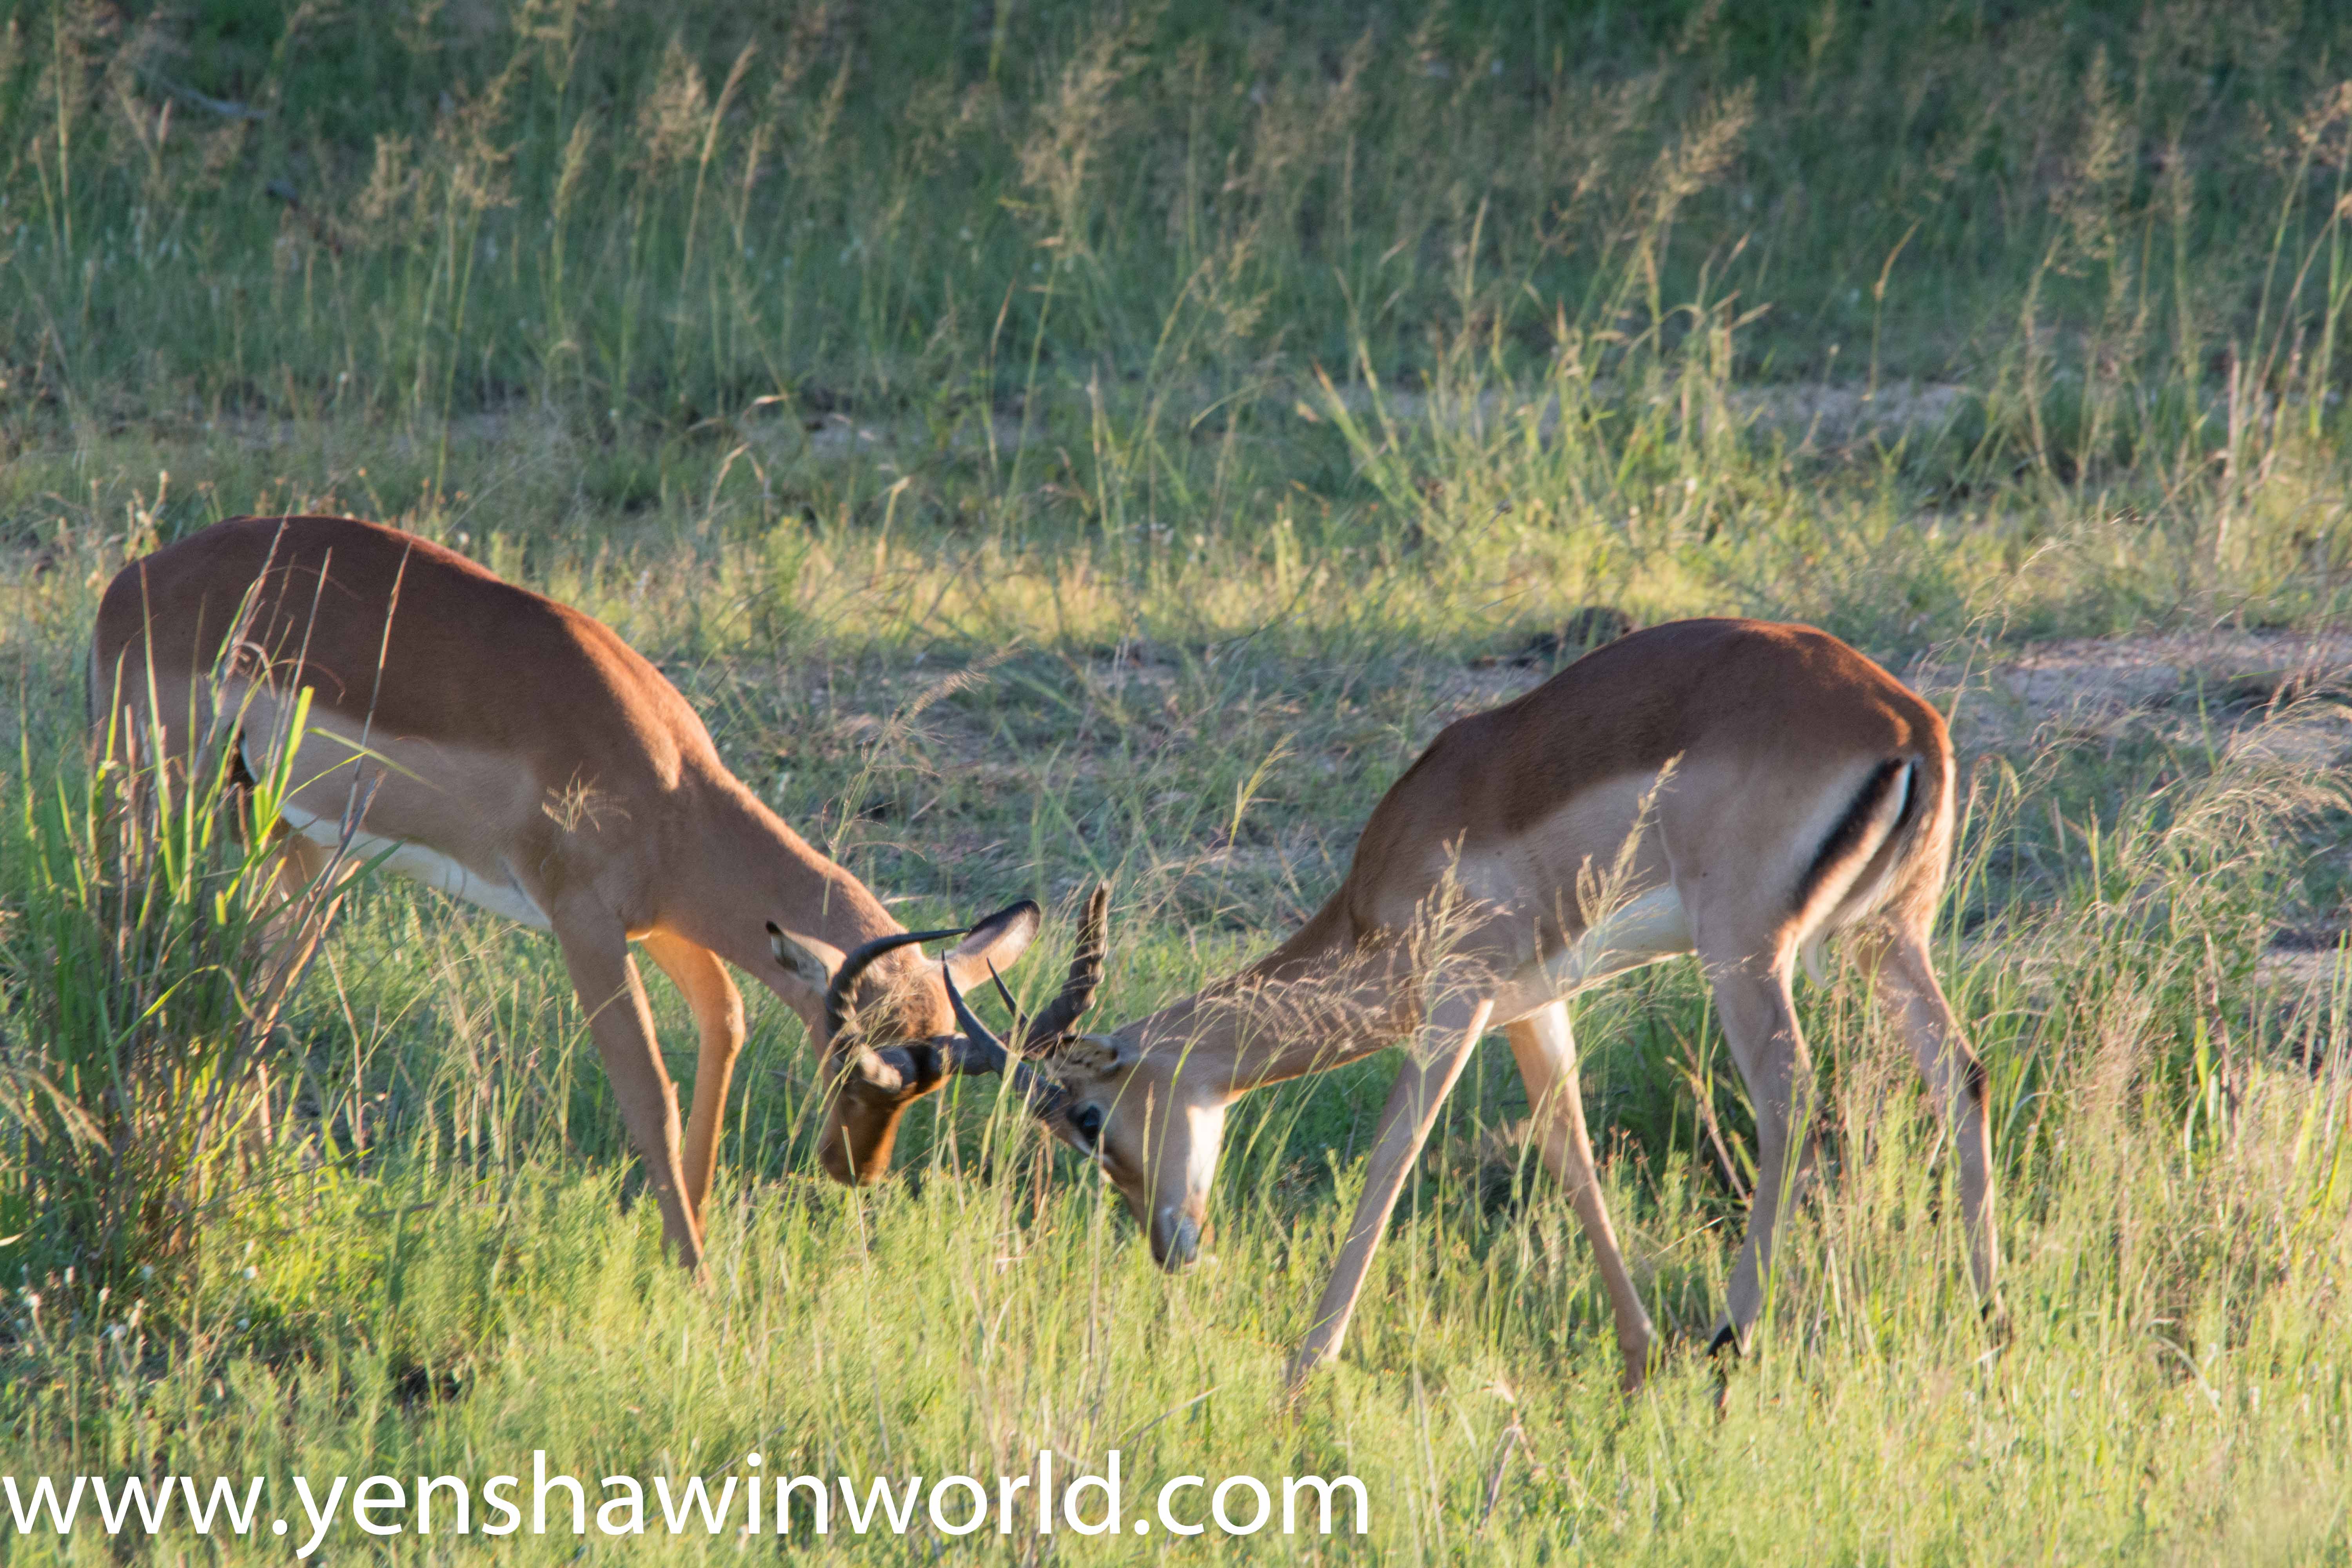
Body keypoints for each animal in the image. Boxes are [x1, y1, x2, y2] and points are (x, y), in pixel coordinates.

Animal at [88, 514, 1106, 1275]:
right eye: (850, 1064)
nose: (853, 1170)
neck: (666, 776)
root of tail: (129, 584)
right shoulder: (582, 926)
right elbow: (647, 1089)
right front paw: (699, 1281)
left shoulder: (664, 923)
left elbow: (725, 1023)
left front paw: (685, 1244)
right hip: (157, 805)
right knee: (142, 954)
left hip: (295, 846)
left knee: (252, 998)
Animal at [941, 618, 2000, 1392]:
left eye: (1087, 1116)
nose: (1170, 1247)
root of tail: (1912, 726)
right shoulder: (1533, 1006)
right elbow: (1570, 1151)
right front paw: (1636, 1359)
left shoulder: (1457, 1002)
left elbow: (1392, 1152)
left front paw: (1303, 1366)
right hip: (1885, 940)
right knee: (1964, 1075)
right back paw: (1994, 1325)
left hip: (1744, 952)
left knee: (1793, 1098)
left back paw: (1730, 1340)